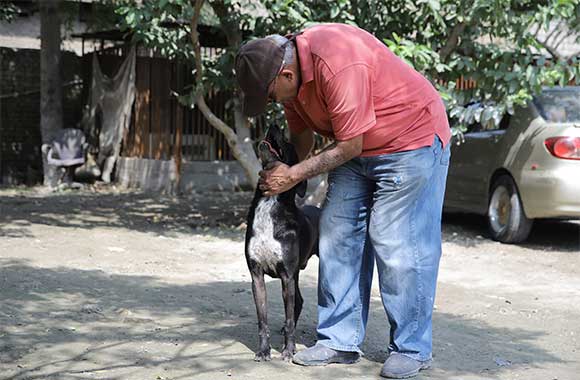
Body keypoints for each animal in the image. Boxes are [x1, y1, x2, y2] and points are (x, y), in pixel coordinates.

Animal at [242, 125, 320, 362]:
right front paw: (264, 351)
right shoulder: (257, 276)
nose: (275, 125)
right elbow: (263, 321)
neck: (269, 204)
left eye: (287, 142)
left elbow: (288, 318)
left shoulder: (286, 276)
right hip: (295, 275)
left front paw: (288, 350)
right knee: (299, 302)